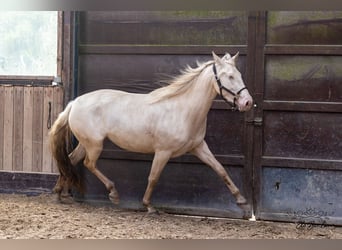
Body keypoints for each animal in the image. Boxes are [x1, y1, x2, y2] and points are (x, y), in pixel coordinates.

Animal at [50, 51, 254, 214]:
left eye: (239, 74)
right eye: (229, 76)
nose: (247, 103)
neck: (183, 109)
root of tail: (74, 103)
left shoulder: (198, 147)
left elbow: (220, 169)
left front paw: (242, 201)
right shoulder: (163, 151)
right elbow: (154, 177)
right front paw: (148, 205)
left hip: (86, 143)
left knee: (71, 159)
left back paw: (58, 193)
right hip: (94, 144)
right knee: (88, 163)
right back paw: (113, 193)